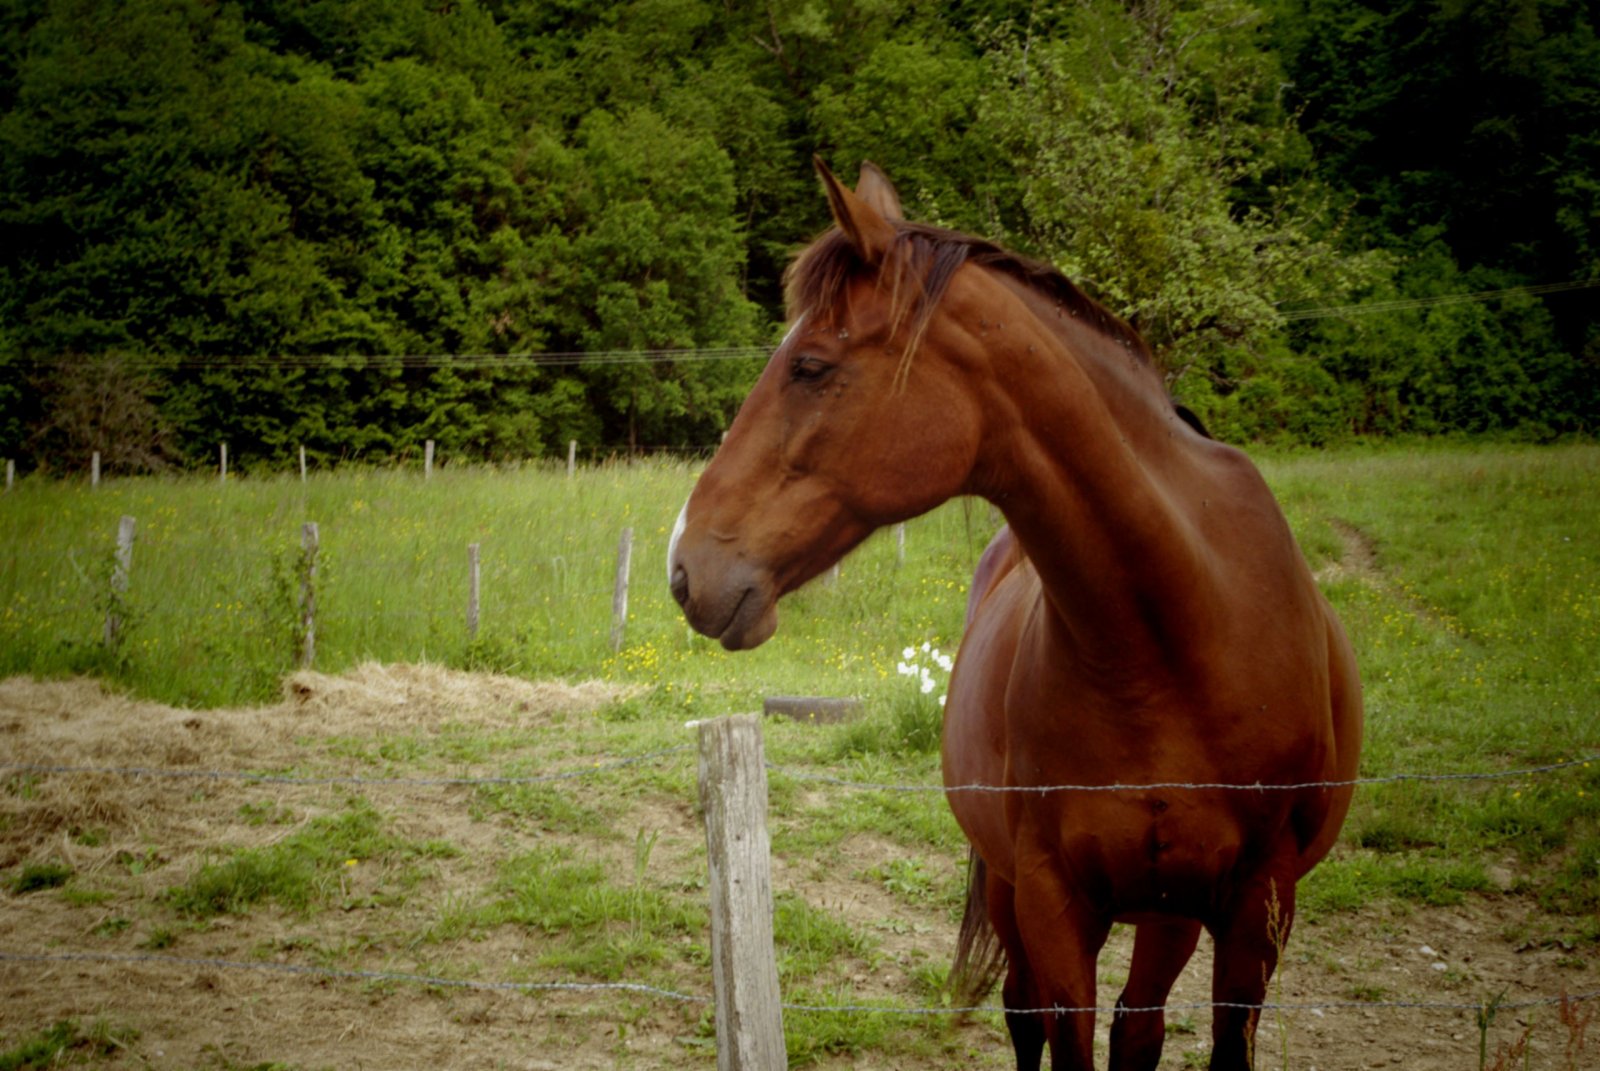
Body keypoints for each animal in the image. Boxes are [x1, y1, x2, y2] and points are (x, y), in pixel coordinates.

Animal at [668, 160, 1356, 1069]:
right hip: (1018, 885)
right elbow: (1061, 1030)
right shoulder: (1052, 898)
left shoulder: (1258, 907)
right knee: (1029, 1012)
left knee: (1140, 1025)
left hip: (1168, 907)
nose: (683, 566)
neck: (1182, 629)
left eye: (809, 366)